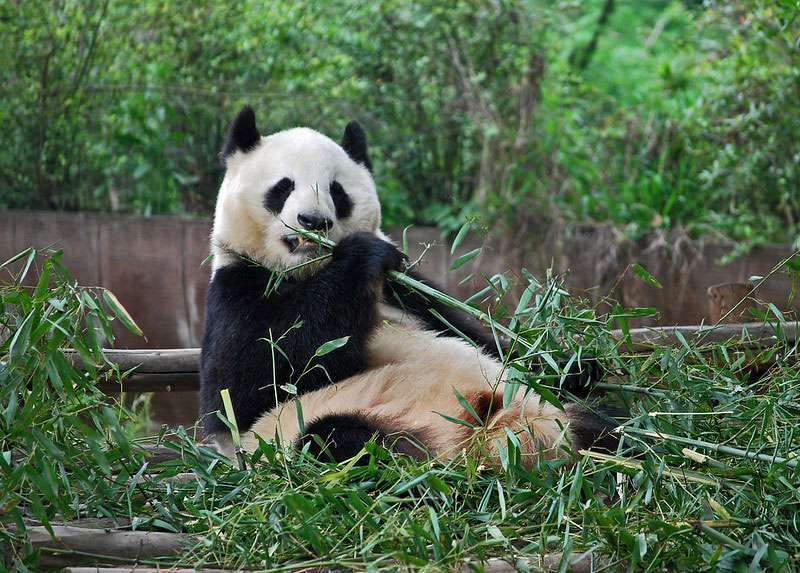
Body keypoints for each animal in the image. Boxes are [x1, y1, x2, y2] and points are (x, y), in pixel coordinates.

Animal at [197, 105, 616, 466]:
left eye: (336, 191)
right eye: (283, 187)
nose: (313, 221)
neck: (308, 271)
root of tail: (505, 434)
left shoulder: (408, 291)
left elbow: (481, 337)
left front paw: (577, 363)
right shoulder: (237, 288)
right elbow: (247, 383)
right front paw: (362, 254)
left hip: (546, 404)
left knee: (606, 421)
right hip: (316, 426)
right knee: (343, 442)